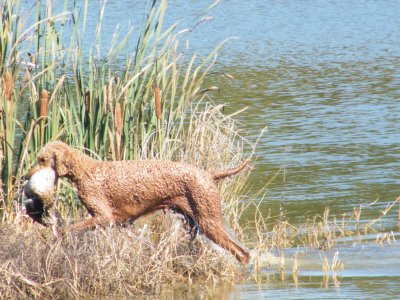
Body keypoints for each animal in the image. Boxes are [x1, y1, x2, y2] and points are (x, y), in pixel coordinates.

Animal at [25, 142, 250, 264]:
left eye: (41, 159)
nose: (26, 175)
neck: (87, 170)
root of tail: (209, 174)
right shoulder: (119, 223)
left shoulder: (104, 217)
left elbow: (67, 230)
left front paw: (56, 239)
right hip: (193, 222)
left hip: (208, 222)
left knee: (243, 254)